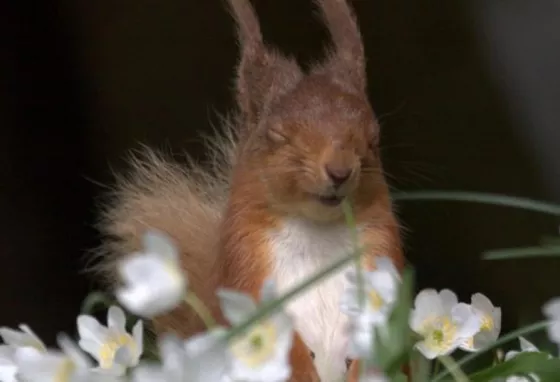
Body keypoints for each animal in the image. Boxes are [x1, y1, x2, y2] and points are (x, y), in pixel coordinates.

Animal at [96, 0, 402, 382]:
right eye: (277, 135)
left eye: (374, 137)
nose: (340, 170)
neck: (318, 229)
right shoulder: (246, 264)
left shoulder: (381, 253)